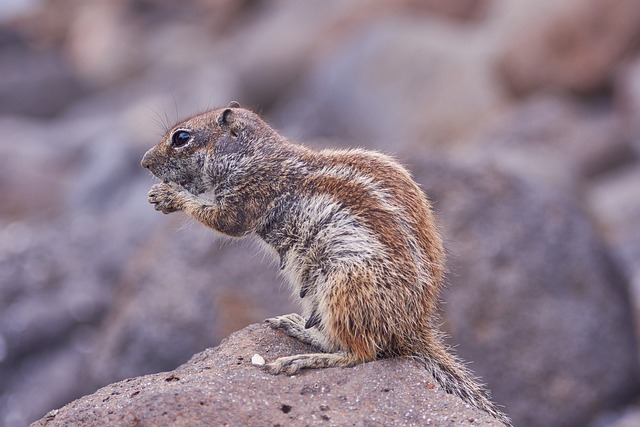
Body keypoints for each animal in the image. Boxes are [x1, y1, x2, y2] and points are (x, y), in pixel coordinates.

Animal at [142, 103, 512, 424]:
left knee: (362, 353)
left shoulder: (249, 196)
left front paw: (168, 196)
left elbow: (221, 220)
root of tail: (413, 327)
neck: (256, 156)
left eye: (181, 138)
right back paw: (299, 329)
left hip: (344, 285)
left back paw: (301, 358)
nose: (145, 162)